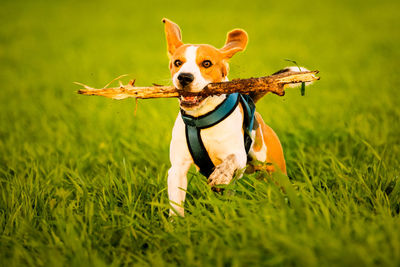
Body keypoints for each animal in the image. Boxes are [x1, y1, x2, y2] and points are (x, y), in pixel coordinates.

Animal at [163, 17, 288, 217]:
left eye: (206, 63)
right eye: (177, 62)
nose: (184, 77)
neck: (200, 119)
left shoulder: (238, 155)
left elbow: (231, 159)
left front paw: (221, 173)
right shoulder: (177, 170)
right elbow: (176, 205)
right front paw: (176, 224)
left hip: (273, 169)